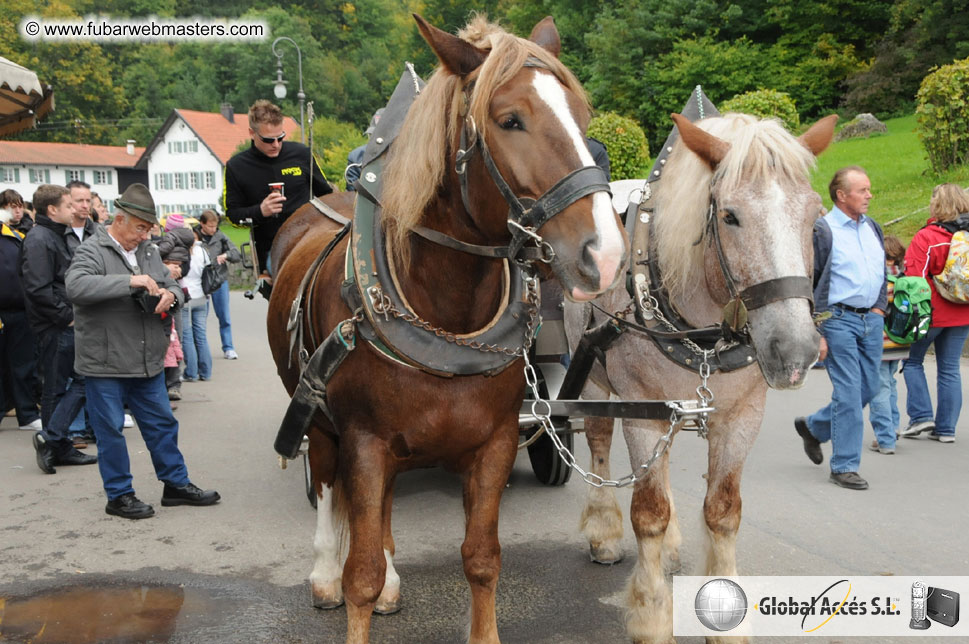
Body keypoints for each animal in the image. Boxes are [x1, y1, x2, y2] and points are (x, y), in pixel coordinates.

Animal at [266, 15, 628, 644]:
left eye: (583, 122)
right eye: (510, 120)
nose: (604, 256)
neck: (444, 319)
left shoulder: (494, 442)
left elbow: (481, 558)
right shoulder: (364, 440)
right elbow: (359, 572)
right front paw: (355, 583)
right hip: (319, 418)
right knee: (328, 485)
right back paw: (323, 573)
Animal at [564, 113, 836, 640]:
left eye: (814, 215)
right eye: (729, 216)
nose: (796, 350)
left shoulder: (742, 416)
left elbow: (723, 512)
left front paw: (725, 619)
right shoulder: (641, 411)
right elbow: (648, 513)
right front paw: (651, 616)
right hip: (594, 380)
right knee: (600, 443)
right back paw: (604, 531)